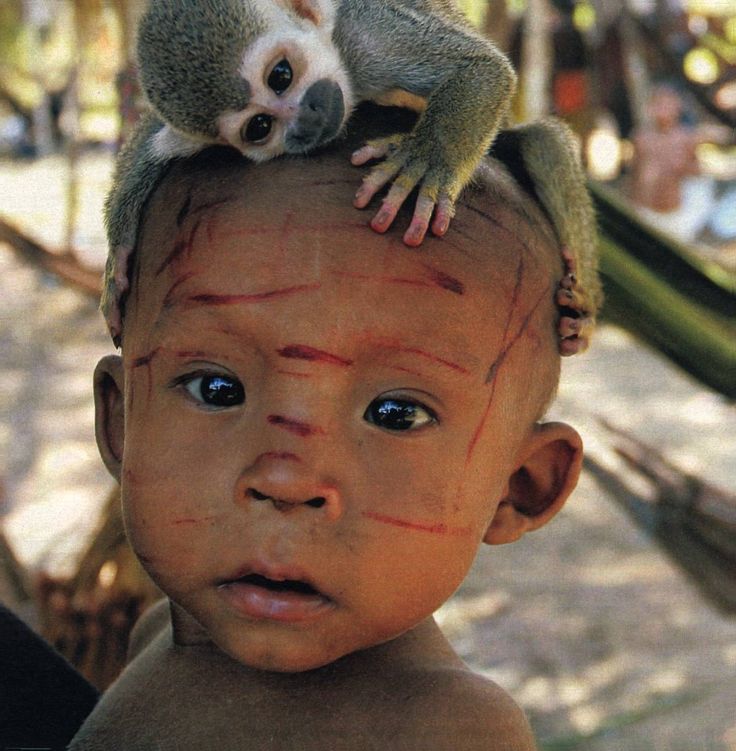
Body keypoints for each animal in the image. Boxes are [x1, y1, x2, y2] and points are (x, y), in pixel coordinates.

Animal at [102, 0, 600, 354]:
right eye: (259, 127)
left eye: (281, 75)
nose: (304, 122)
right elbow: (152, 138)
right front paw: (118, 256)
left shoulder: (365, 34)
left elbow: (480, 68)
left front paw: (427, 161)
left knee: (542, 143)